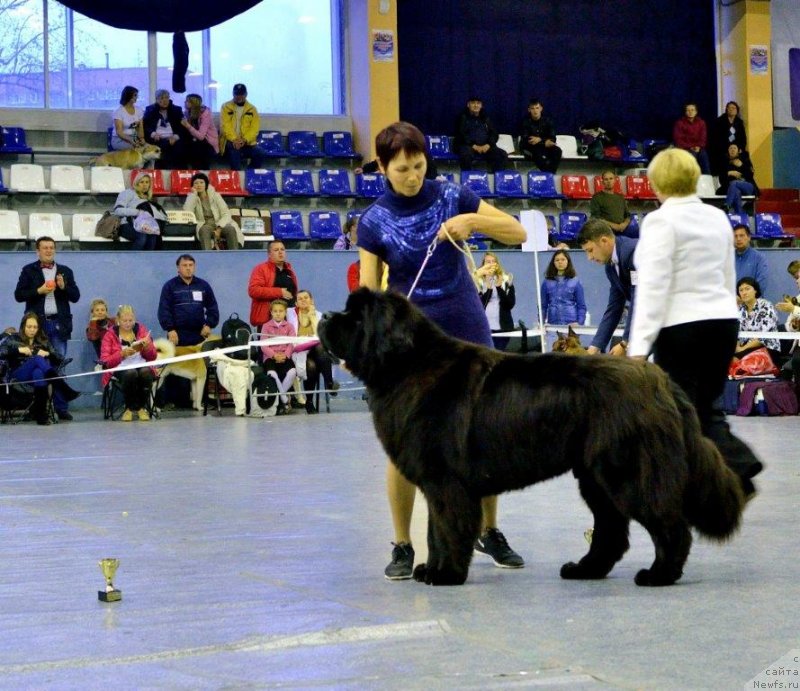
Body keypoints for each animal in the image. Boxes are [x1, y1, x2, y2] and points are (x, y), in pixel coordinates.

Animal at [318, 290, 744, 588]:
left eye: (355, 317)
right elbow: (435, 530)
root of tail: (660, 380)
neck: (408, 365)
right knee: (610, 531)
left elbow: (447, 528)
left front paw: (446, 574)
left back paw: (658, 575)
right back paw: (585, 569)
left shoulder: (446, 482)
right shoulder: (436, 483)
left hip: (627, 472)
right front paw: (431, 568)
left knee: (668, 525)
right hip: (595, 476)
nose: (325, 317)